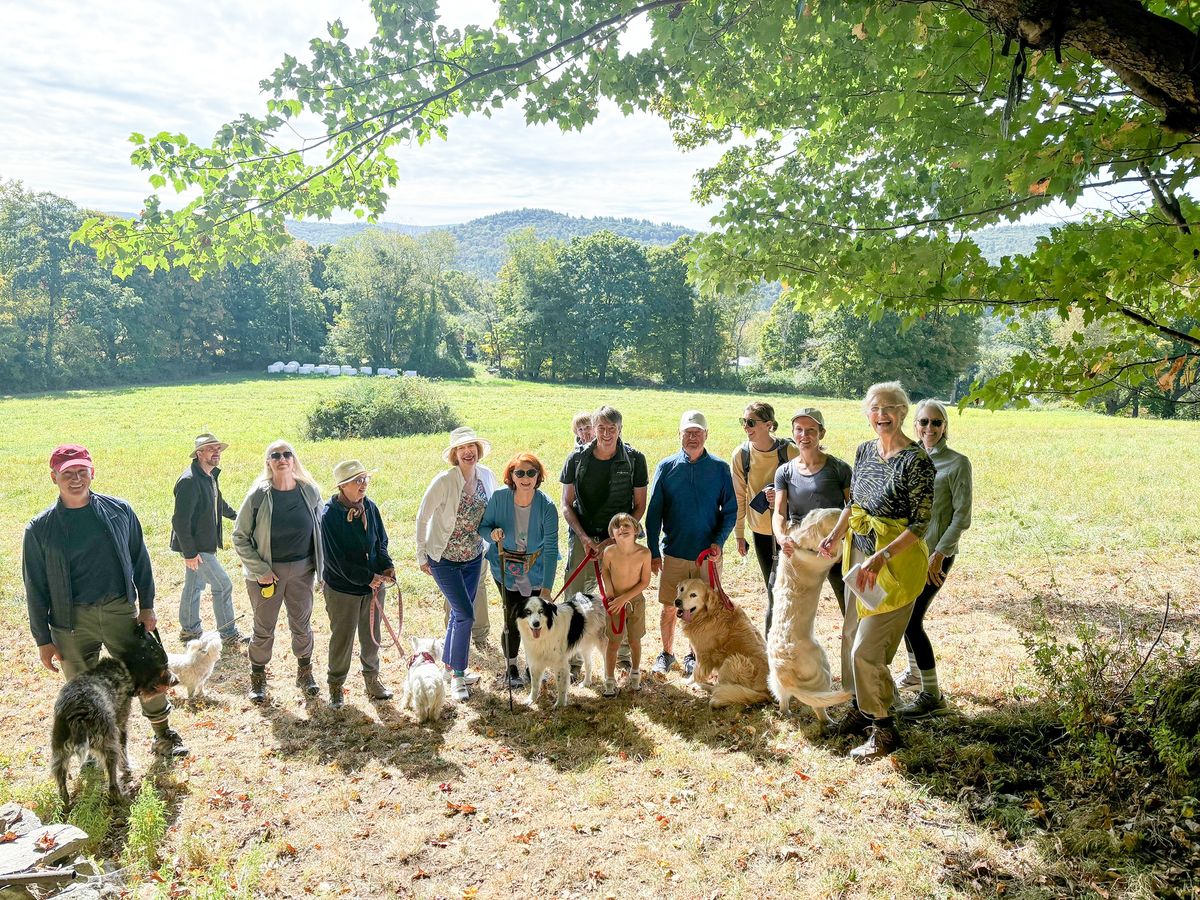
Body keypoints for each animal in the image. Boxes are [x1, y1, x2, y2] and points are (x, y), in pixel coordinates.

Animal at [51, 628, 176, 811]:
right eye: (164, 665)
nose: (176, 680)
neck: (122, 668)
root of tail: (77, 714)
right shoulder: (121, 727)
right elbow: (124, 757)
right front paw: (127, 770)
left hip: (59, 755)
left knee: (61, 786)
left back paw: (65, 806)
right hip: (109, 746)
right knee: (112, 784)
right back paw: (121, 798)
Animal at [768, 511, 854, 729]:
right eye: (837, 516)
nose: (848, 515)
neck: (801, 540)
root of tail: (784, 672)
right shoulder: (825, 558)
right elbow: (836, 550)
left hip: (775, 682)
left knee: (783, 701)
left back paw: (786, 712)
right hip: (823, 668)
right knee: (819, 706)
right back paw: (829, 722)